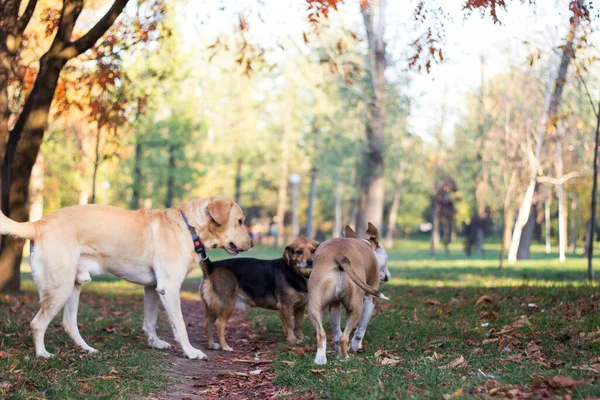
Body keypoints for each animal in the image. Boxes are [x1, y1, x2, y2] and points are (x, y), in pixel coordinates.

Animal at [0, 196, 251, 360]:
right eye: (240, 221)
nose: (252, 243)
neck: (190, 228)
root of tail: (38, 223)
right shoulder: (169, 288)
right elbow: (180, 326)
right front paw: (190, 352)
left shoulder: (153, 288)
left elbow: (150, 321)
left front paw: (154, 343)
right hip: (59, 287)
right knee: (37, 323)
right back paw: (42, 354)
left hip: (74, 285)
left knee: (69, 323)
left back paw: (87, 349)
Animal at [308, 223, 392, 364]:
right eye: (386, 258)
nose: (387, 276)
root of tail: (338, 255)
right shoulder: (370, 299)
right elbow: (361, 327)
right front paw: (355, 346)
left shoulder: (335, 304)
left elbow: (337, 330)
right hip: (357, 308)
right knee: (345, 337)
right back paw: (345, 357)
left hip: (314, 307)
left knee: (322, 334)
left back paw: (321, 359)